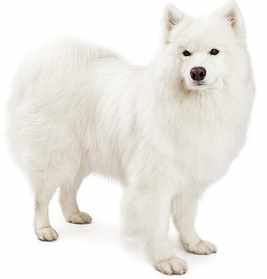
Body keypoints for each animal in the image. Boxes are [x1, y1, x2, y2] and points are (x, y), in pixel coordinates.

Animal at [7, 0, 255, 276]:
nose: (197, 72)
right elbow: (158, 225)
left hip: (81, 157)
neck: (195, 107)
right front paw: (165, 259)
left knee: (67, 190)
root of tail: (44, 64)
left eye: (214, 51)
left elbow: (186, 218)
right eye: (185, 53)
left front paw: (193, 244)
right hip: (56, 157)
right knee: (41, 198)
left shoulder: (189, 178)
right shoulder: (154, 184)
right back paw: (44, 230)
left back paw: (75, 215)